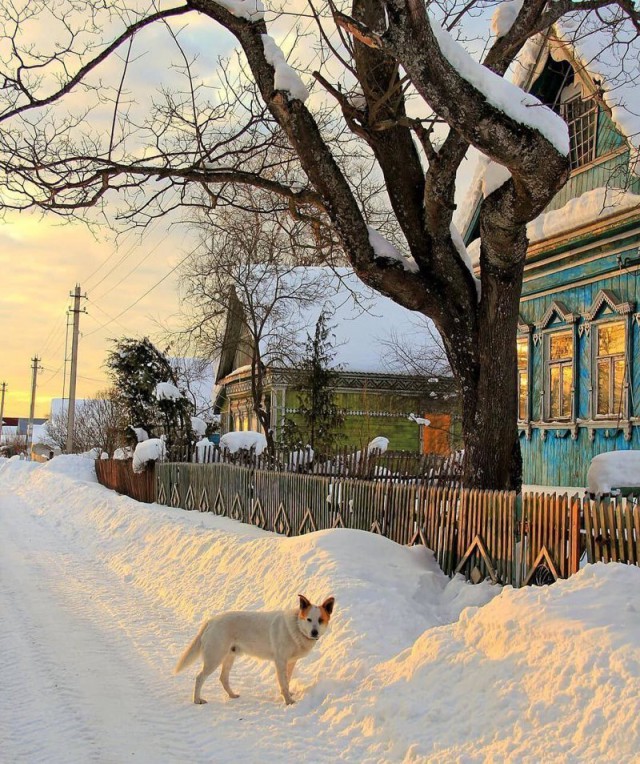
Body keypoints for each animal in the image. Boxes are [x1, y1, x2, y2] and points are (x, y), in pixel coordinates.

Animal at [175, 592, 336, 708]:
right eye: (309, 619)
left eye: (320, 620)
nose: (314, 633)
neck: (297, 627)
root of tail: (211, 620)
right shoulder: (280, 661)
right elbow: (283, 682)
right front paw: (288, 701)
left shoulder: (290, 662)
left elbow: (287, 680)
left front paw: (288, 694)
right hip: (214, 658)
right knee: (199, 678)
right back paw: (197, 700)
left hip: (229, 657)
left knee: (223, 678)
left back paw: (232, 695)